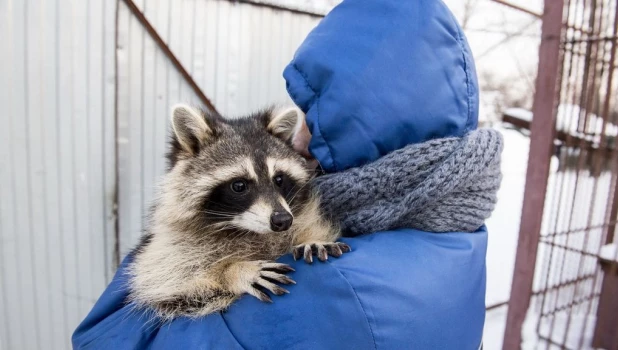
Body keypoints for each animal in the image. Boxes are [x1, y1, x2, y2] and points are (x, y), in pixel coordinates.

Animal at [126, 103, 346, 320]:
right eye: (239, 185)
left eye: (279, 179)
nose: (283, 220)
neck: (244, 229)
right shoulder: (165, 250)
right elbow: (169, 282)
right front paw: (232, 270)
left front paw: (310, 237)